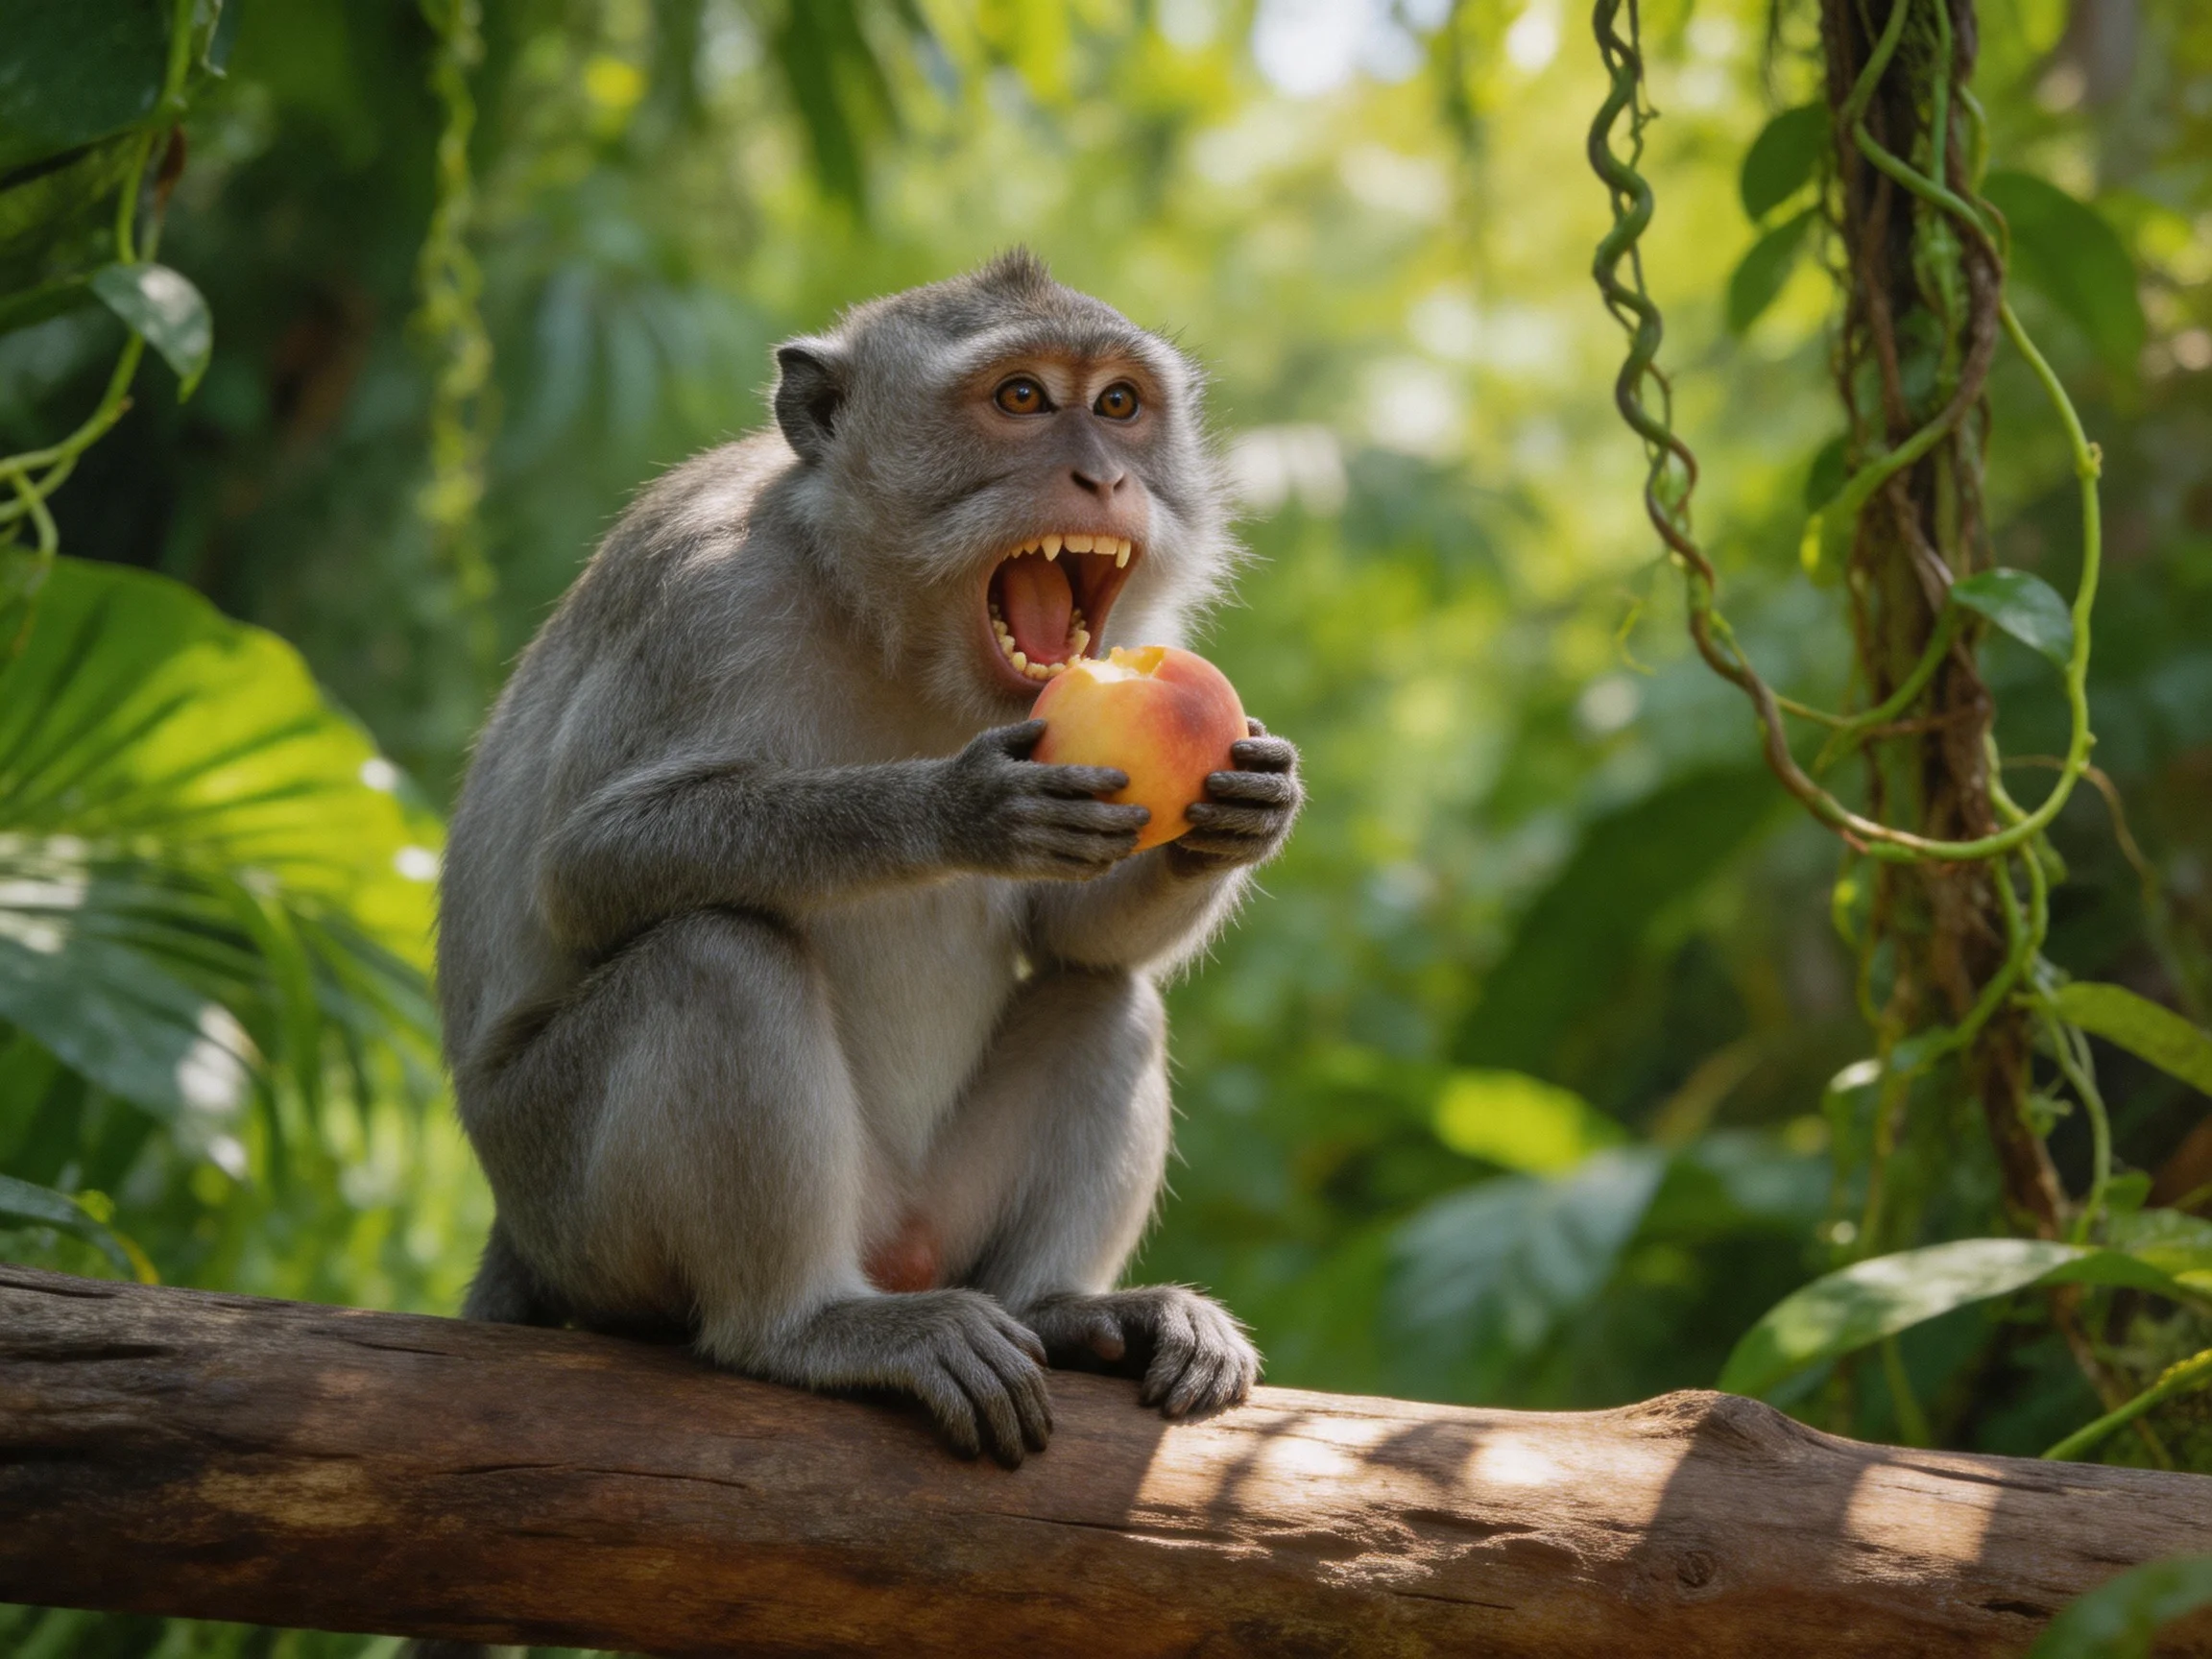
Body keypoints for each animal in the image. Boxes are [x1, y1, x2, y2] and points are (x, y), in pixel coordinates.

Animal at [435, 249, 1301, 1471]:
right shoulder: (702, 599)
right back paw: (807, 1327)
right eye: (1022, 398)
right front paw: (956, 808)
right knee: (716, 956)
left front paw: (1249, 810)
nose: (1102, 478)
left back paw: (1059, 1309)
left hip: (933, 1211)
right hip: (569, 1202)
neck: (888, 625)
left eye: (1121, 404)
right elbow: (587, 865)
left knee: (1105, 993)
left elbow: (1073, 933)